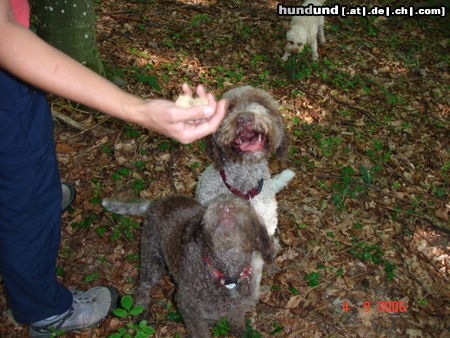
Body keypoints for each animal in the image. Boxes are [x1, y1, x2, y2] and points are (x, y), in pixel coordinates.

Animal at [128, 194, 274, 336]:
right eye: (212, 204)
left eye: (247, 204)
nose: (225, 205)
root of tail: (159, 201)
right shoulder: (189, 309)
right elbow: (200, 332)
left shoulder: (238, 307)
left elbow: (237, 320)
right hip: (152, 260)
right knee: (143, 285)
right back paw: (140, 310)